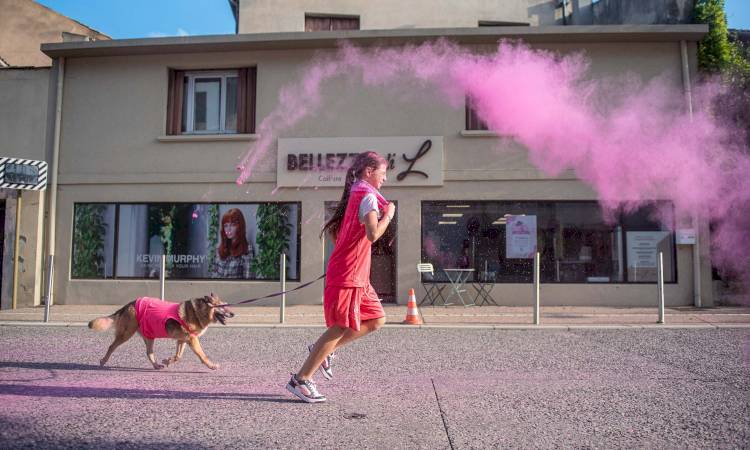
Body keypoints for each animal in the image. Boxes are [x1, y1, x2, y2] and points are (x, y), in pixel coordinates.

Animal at [86, 294, 232, 370]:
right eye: (223, 306)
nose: (233, 314)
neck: (200, 311)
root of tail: (128, 305)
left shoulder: (182, 340)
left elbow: (178, 356)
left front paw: (168, 361)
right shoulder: (192, 340)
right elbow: (203, 355)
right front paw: (211, 365)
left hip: (149, 336)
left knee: (149, 353)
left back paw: (156, 365)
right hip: (126, 334)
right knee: (111, 346)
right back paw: (103, 361)